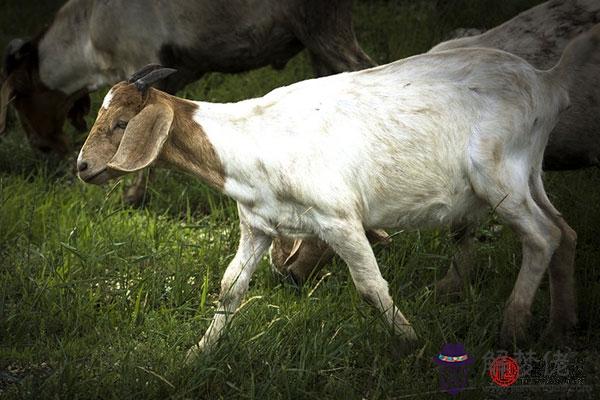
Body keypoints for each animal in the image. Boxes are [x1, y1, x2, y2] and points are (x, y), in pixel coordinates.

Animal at [78, 27, 600, 360]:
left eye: (121, 124)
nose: (83, 168)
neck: (247, 138)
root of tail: (547, 82)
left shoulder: (339, 220)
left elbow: (370, 285)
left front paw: (411, 343)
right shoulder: (258, 225)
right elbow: (230, 288)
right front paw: (196, 354)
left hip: (498, 176)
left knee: (541, 236)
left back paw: (511, 332)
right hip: (528, 174)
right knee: (564, 231)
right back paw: (559, 328)